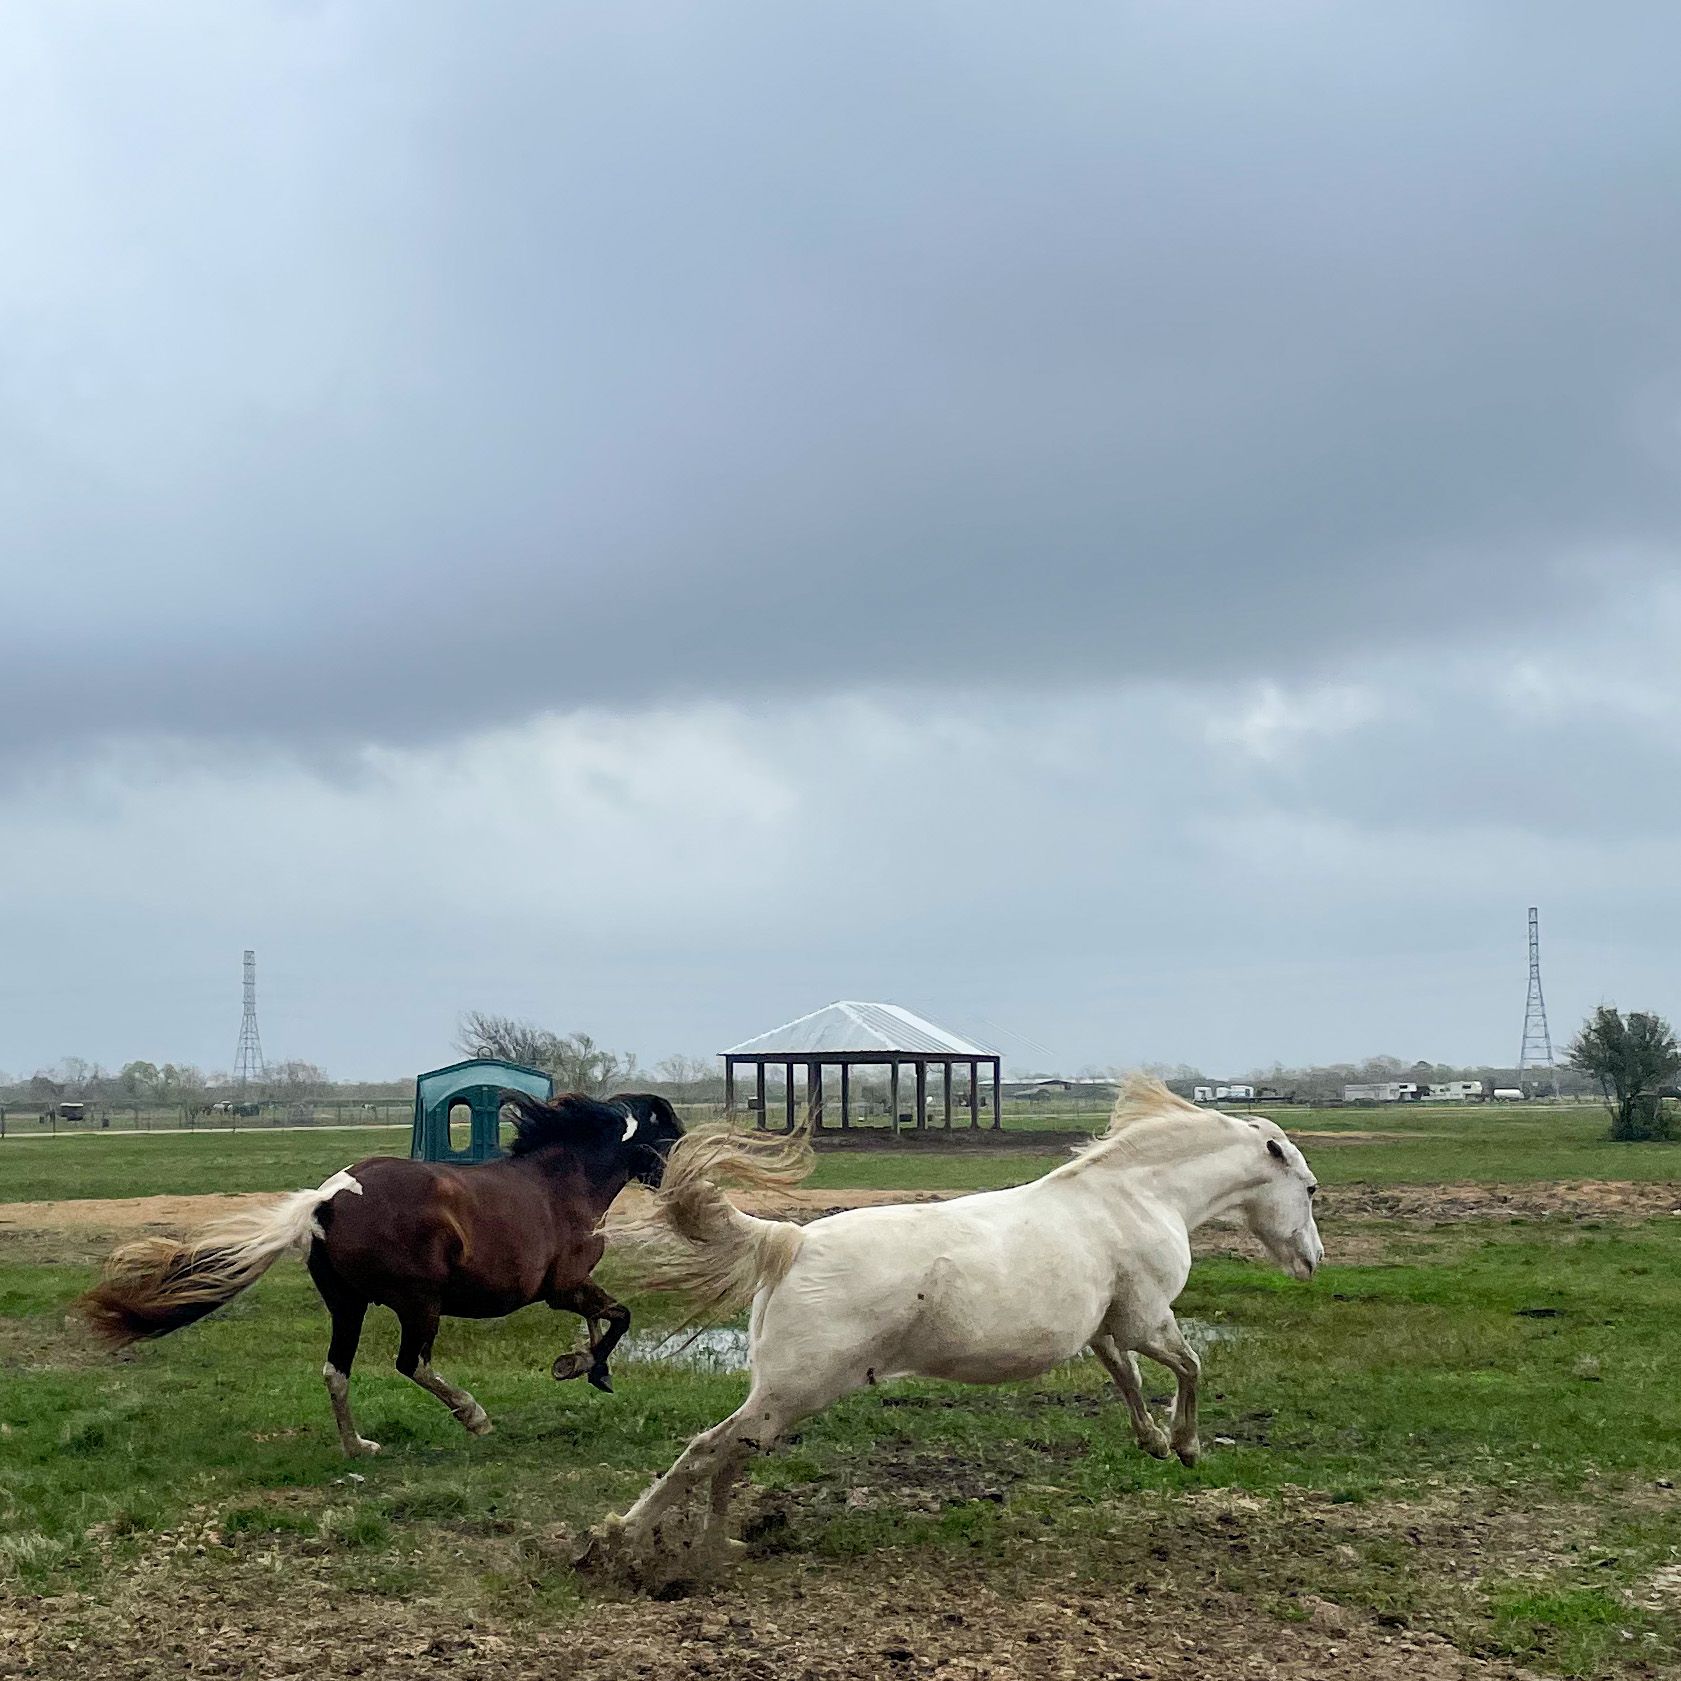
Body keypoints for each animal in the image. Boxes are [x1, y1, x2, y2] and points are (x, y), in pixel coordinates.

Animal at [78, 1090, 684, 1455]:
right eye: (671, 1137)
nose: (677, 1184)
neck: (562, 1185)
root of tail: (327, 1199)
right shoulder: (563, 1287)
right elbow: (619, 1316)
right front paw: (585, 1366)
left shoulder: (569, 1290)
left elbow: (604, 1321)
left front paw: (584, 1366)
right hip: (420, 1303)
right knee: (412, 1363)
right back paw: (473, 1415)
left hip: (347, 1305)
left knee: (336, 1372)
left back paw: (358, 1447)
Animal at [593, 1076, 1322, 1578]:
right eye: (1310, 1188)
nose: (1312, 1261)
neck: (1138, 1197)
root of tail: (790, 1241)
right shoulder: (1147, 1316)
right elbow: (1189, 1367)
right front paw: (1186, 1446)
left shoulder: (1110, 1327)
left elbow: (1129, 1379)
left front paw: (1152, 1441)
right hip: (794, 1390)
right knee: (707, 1451)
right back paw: (618, 1540)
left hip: (779, 1397)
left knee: (729, 1453)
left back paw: (719, 1545)